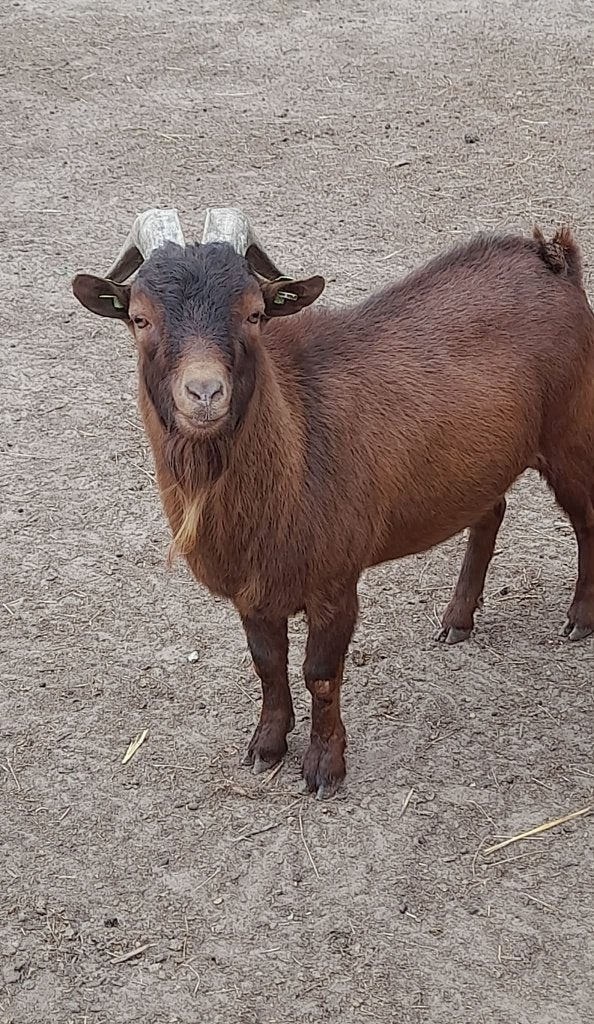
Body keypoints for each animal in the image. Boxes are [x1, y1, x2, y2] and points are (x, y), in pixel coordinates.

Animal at [72, 208, 594, 797]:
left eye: (255, 314)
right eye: (139, 318)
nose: (204, 393)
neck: (295, 453)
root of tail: (554, 260)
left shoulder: (335, 579)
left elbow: (320, 673)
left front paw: (324, 768)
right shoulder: (253, 591)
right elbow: (267, 665)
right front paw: (265, 747)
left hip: (570, 432)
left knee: (587, 519)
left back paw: (579, 618)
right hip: (483, 458)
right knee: (491, 512)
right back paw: (457, 619)